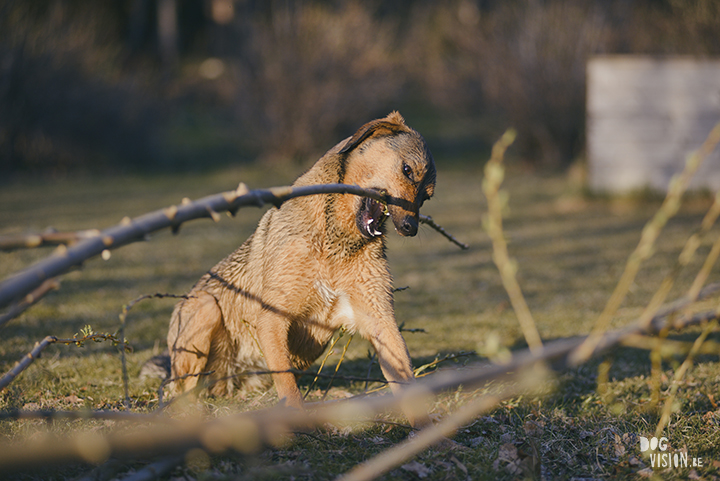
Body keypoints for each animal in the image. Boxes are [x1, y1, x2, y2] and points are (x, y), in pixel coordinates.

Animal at [168, 113, 436, 428]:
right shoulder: (273, 316)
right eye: (407, 170)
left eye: (426, 198)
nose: (410, 228)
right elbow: (287, 383)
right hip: (205, 309)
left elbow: (405, 378)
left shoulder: (379, 318)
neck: (337, 241)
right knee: (181, 391)